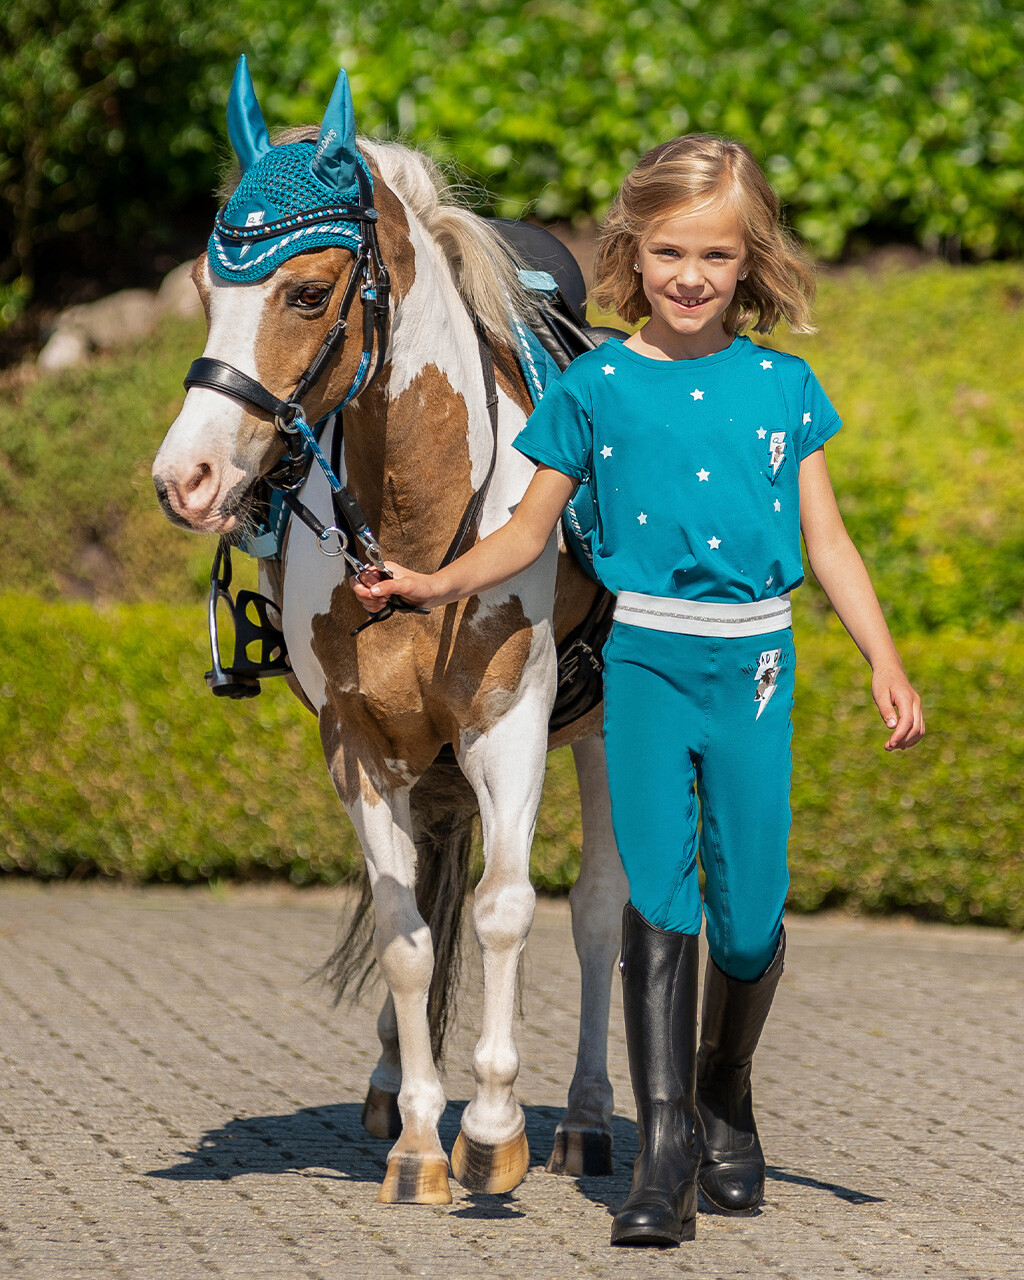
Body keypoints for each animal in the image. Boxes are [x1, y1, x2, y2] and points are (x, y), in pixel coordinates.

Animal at [152, 58, 627, 1206]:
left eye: (305, 291)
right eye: (204, 287)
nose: (185, 477)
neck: (421, 512)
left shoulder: (507, 719)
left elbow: (508, 908)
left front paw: (492, 1127)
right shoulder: (360, 740)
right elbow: (406, 932)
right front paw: (419, 1141)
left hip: (595, 728)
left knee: (599, 911)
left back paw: (586, 1118)